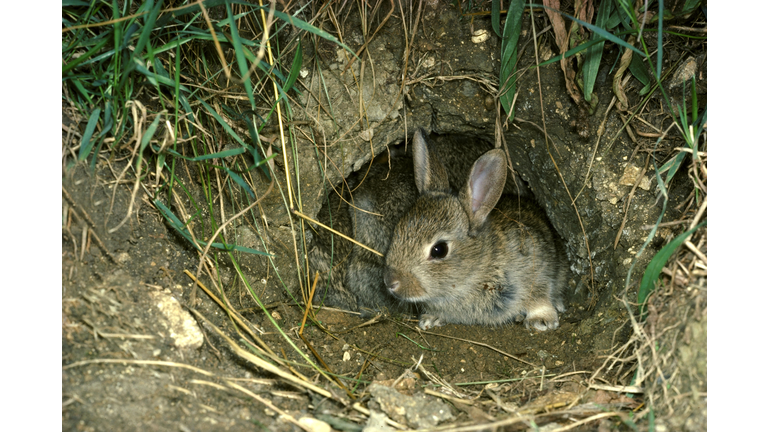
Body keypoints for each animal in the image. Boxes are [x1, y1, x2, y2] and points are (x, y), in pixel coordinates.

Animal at [382, 137, 568, 332]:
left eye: (439, 250)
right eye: (397, 230)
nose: (390, 282)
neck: (478, 268)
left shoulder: (536, 267)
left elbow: (539, 295)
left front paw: (541, 320)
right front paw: (430, 319)